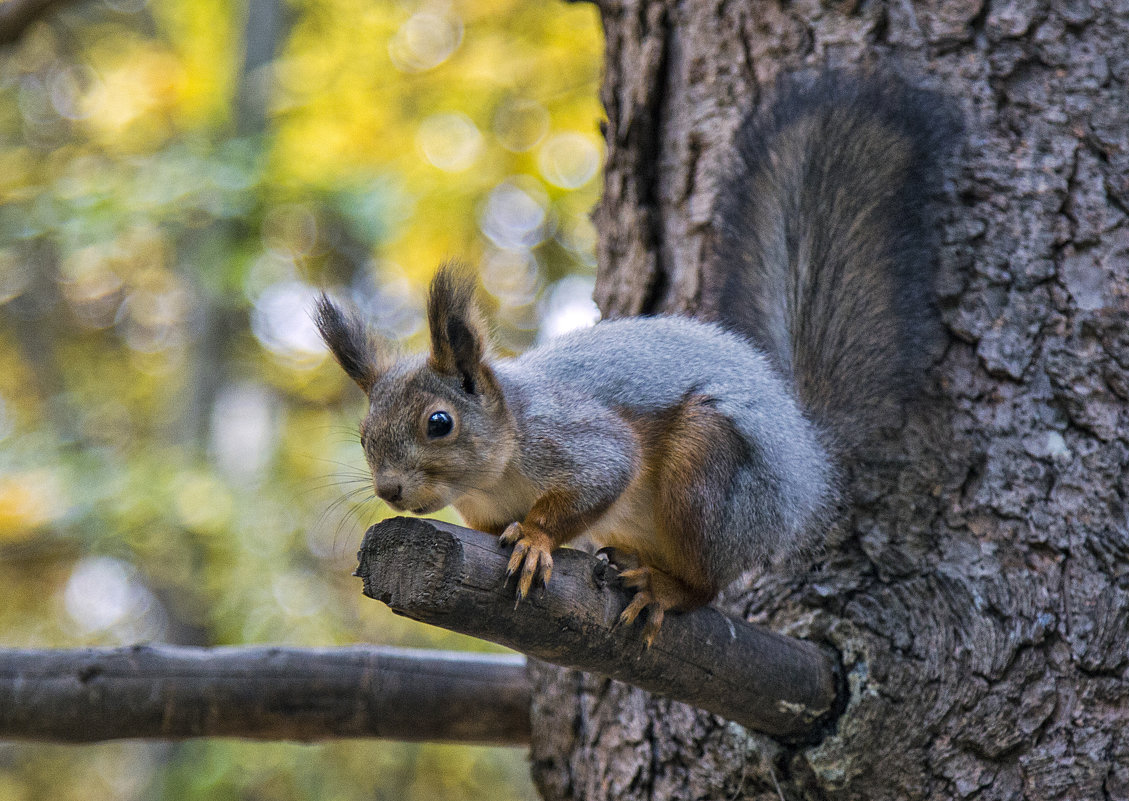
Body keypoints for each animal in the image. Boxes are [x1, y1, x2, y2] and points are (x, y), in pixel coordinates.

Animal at [313, 73, 957, 641]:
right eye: (364, 436)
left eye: (439, 423)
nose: (389, 491)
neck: (497, 468)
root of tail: (807, 457)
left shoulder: (576, 439)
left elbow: (603, 474)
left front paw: (537, 540)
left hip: (713, 484)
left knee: (708, 583)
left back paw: (664, 589)